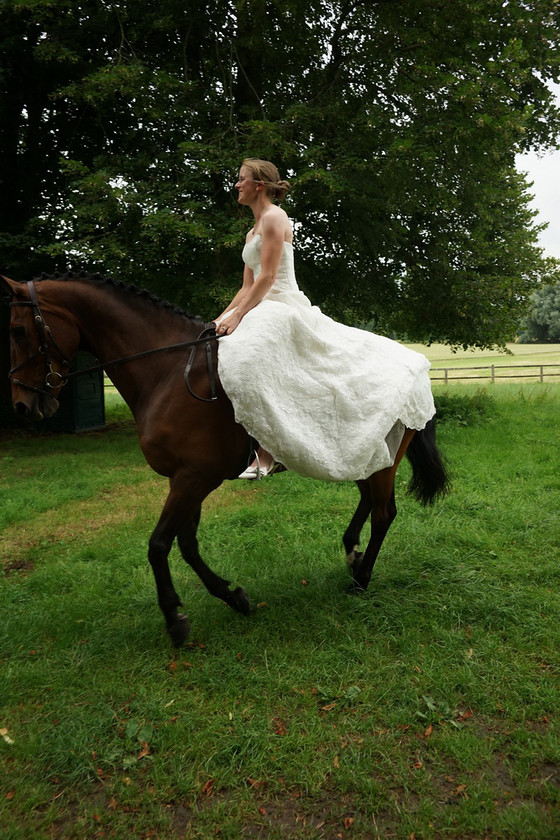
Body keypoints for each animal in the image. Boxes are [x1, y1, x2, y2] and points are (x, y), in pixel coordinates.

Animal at [0, 272, 446, 648]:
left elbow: (159, 545)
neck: (167, 372)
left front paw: (175, 620)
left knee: (384, 512)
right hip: (361, 455)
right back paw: (353, 557)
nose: (21, 405)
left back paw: (361, 580)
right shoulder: (186, 478)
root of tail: (417, 366)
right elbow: (187, 544)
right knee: (369, 501)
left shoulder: (193, 477)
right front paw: (233, 597)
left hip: (382, 460)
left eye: (18, 330)